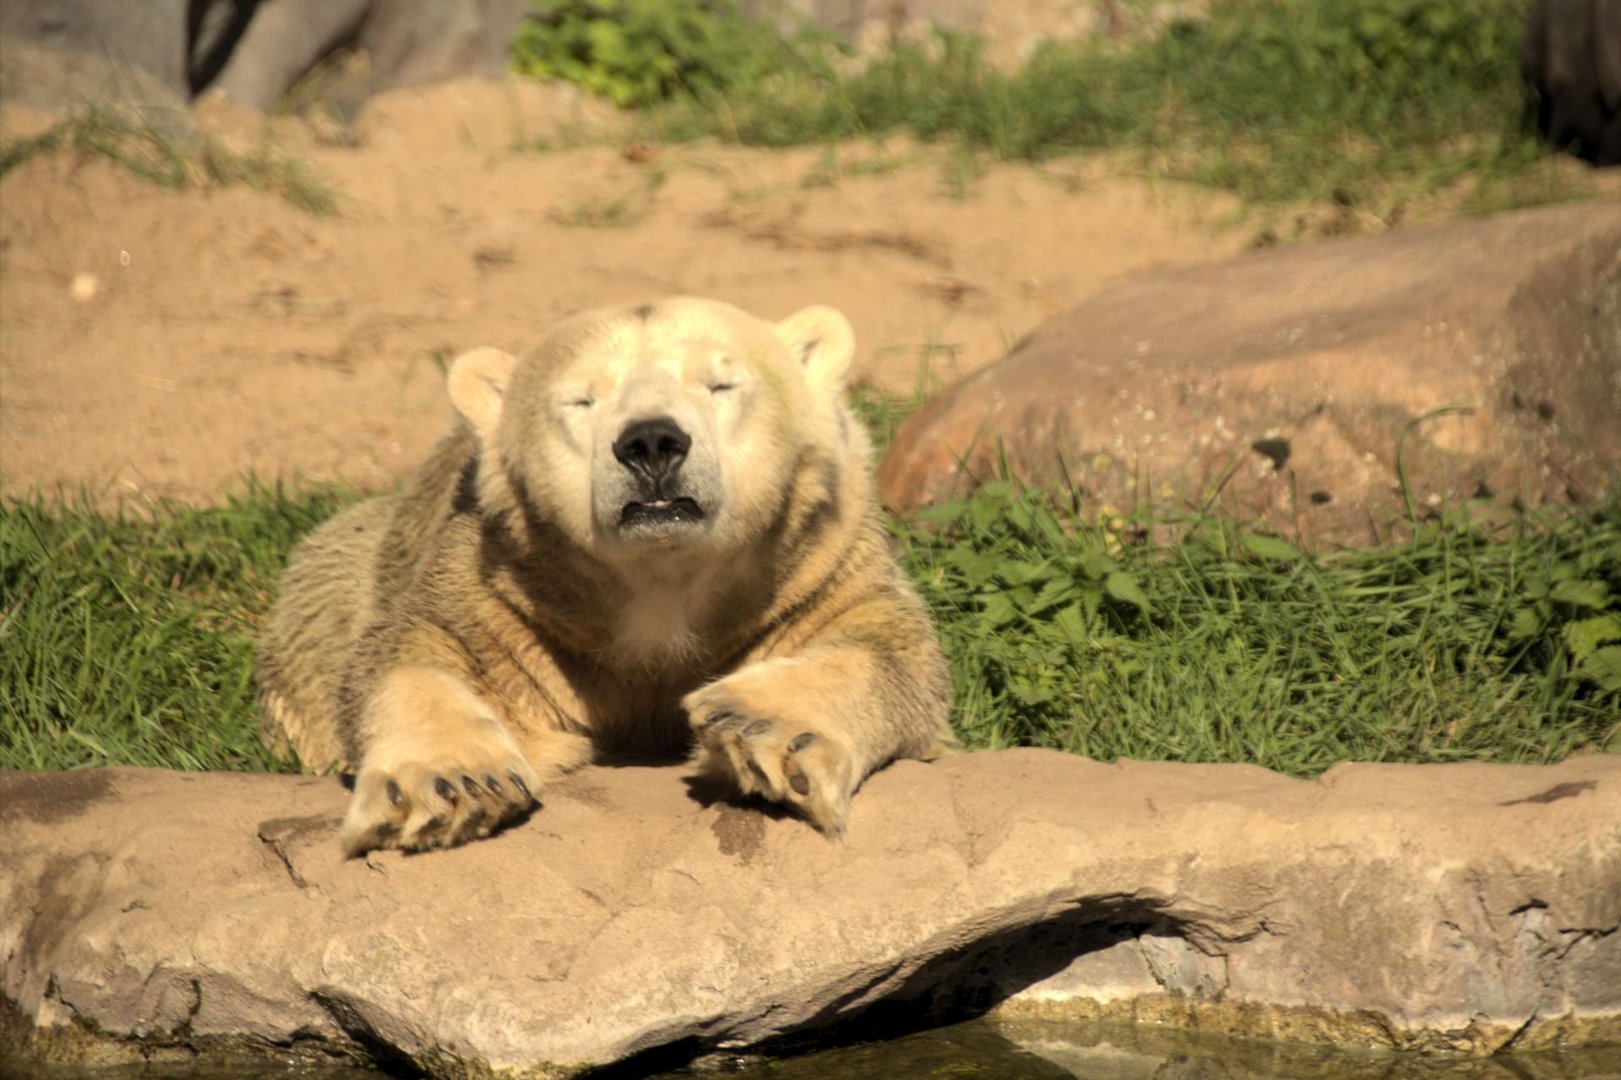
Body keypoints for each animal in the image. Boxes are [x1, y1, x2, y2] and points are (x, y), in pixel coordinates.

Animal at [259, 295, 953, 849]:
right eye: (580, 399)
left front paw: (757, 726)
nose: (651, 443)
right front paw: (452, 783)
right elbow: (413, 648)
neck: (661, 582)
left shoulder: (817, 564)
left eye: (721, 385)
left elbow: (888, 649)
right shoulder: (500, 587)